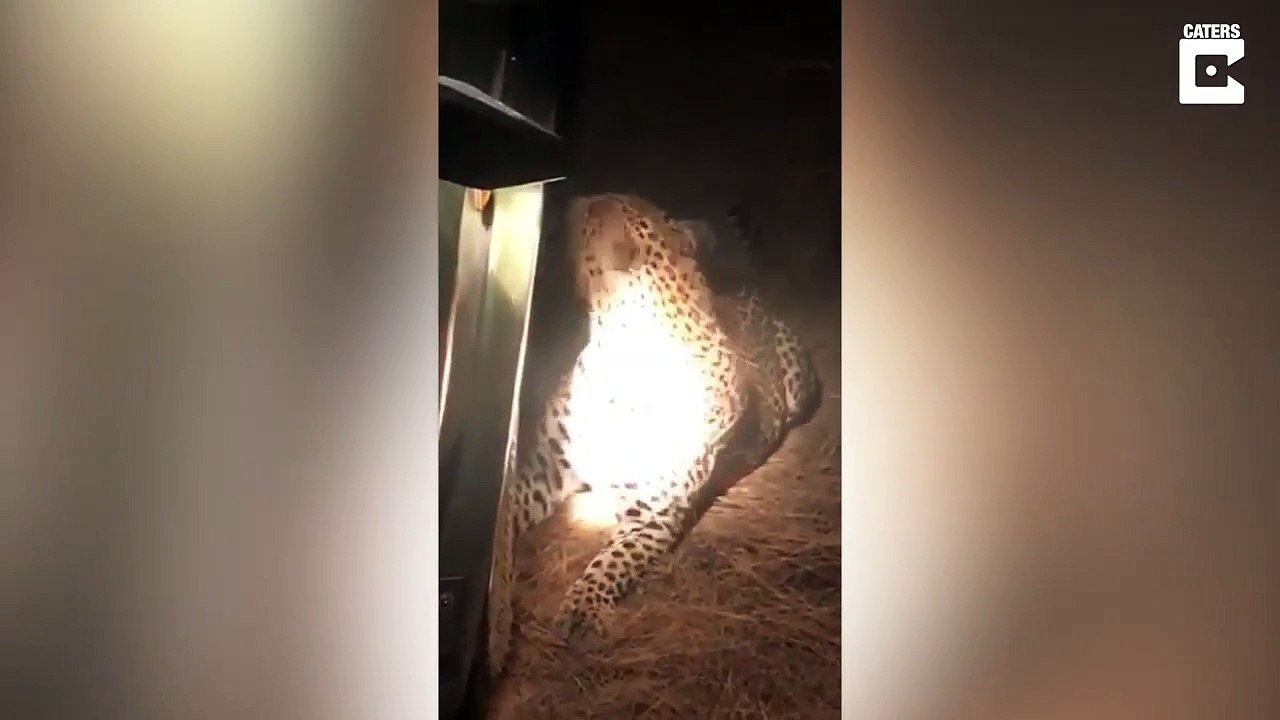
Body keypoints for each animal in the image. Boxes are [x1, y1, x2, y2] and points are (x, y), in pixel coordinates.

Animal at [488, 192, 819, 665]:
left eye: (587, 211)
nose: (571, 201)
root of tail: (743, 290)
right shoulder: (546, 469)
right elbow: (507, 512)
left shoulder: (655, 512)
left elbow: (613, 560)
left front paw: (582, 611)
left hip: (799, 386)